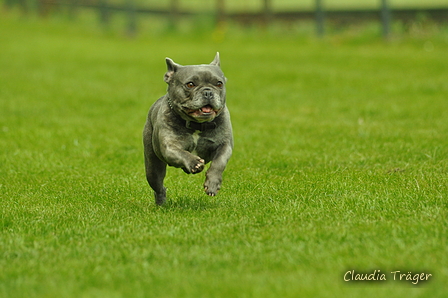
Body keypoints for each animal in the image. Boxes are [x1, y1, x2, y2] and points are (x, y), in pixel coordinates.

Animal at [144, 53, 234, 205]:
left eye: (219, 83)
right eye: (190, 84)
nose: (208, 92)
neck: (196, 124)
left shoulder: (225, 145)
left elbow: (219, 162)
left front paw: (212, 184)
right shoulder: (169, 147)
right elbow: (182, 153)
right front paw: (194, 163)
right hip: (152, 167)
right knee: (158, 187)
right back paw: (161, 204)